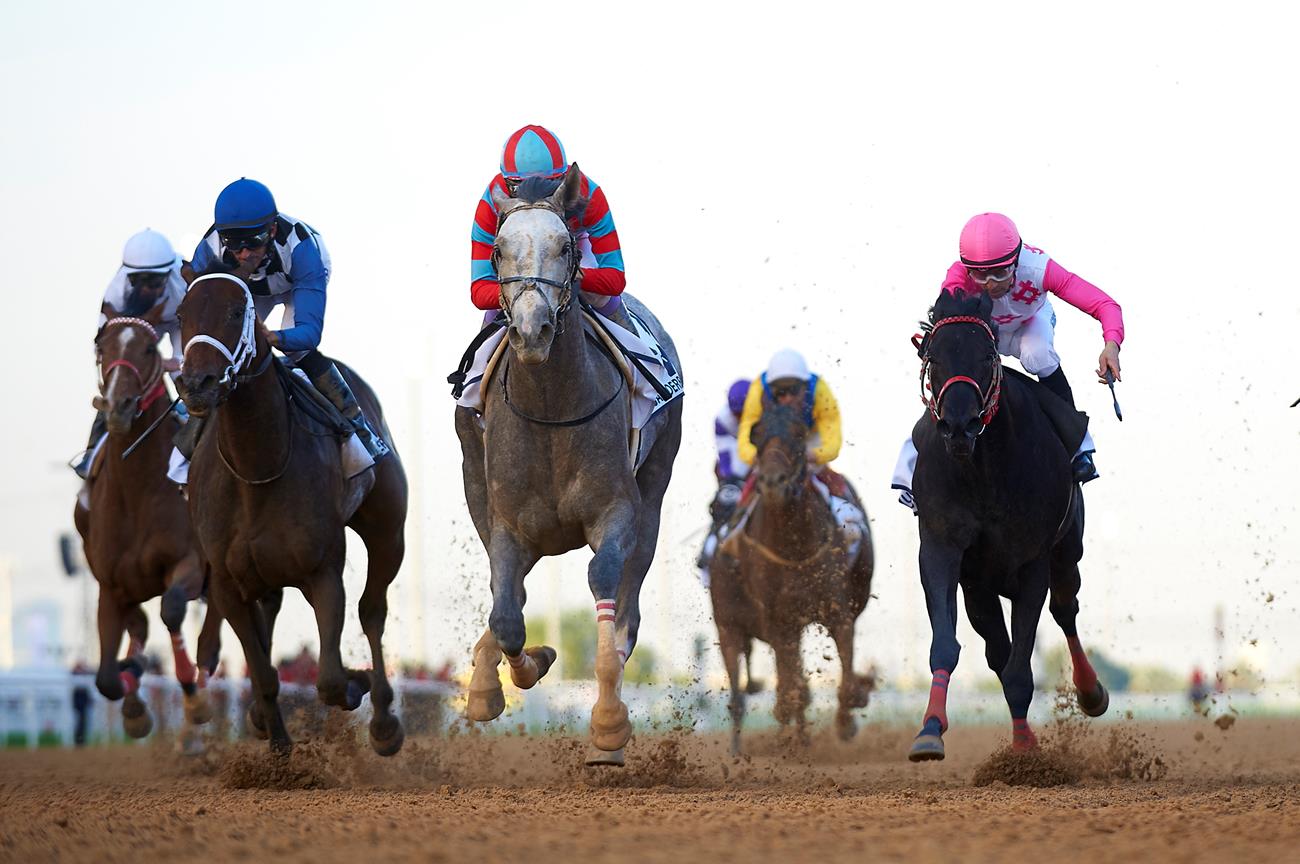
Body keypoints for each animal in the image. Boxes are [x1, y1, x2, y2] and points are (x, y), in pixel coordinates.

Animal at [72, 307, 220, 743]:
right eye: (101, 347)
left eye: (150, 348)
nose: (118, 407)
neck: (137, 492)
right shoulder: (110, 586)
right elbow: (105, 678)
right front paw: (135, 703)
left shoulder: (189, 565)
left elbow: (172, 611)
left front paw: (195, 700)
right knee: (139, 627)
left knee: (210, 642)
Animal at [174, 270, 405, 753]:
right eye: (182, 313)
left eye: (235, 311)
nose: (197, 383)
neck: (256, 468)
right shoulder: (227, 585)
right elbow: (263, 673)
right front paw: (278, 747)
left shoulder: (322, 571)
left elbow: (331, 678)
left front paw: (357, 682)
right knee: (270, 616)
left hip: (388, 532)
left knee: (372, 610)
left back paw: (384, 721)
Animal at [452, 166, 686, 763]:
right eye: (499, 249)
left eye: (564, 246)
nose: (531, 330)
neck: (552, 407)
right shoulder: (509, 524)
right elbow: (507, 615)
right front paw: (515, 674)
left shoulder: (617, 510)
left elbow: (606, 587)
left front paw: (608, 724)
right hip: (478, 488)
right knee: (506, 594)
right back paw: (484, 680)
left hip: (654, 493)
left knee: (628, 607)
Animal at [707, 402, 878, 748]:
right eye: (756, 437)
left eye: (799, 435)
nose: (774, 481)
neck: (793, 548)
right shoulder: (776, 620)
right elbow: (791, 684)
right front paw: (792, 728)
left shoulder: (837, 611)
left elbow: (843, 675)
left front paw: (847, 718)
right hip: (731, 627)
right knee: (740, 694)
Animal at [904, 285, 1107, 758]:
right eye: (933, 357)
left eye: (985, 356)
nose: (960, 426)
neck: (983, 472)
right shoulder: (942, 549)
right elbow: (947, 646)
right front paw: (929, 730)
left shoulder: (1032, 560)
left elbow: (1021, 666)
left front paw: (1025, 752)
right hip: (980, 586)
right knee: (998, 647)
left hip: (1066, 552)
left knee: (1065, 610)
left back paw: (1091, 692)